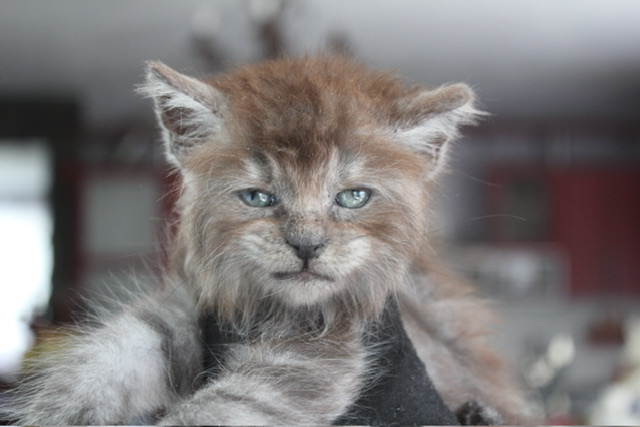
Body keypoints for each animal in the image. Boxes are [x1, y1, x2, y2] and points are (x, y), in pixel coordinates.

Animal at [10, 55, 534, 425]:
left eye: (354, 196)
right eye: (258, 197)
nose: (306, 245)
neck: (269, 307)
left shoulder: (319, 350)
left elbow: (224, 408)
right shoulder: (189, 307)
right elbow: (107, 355)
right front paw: (55, 412)